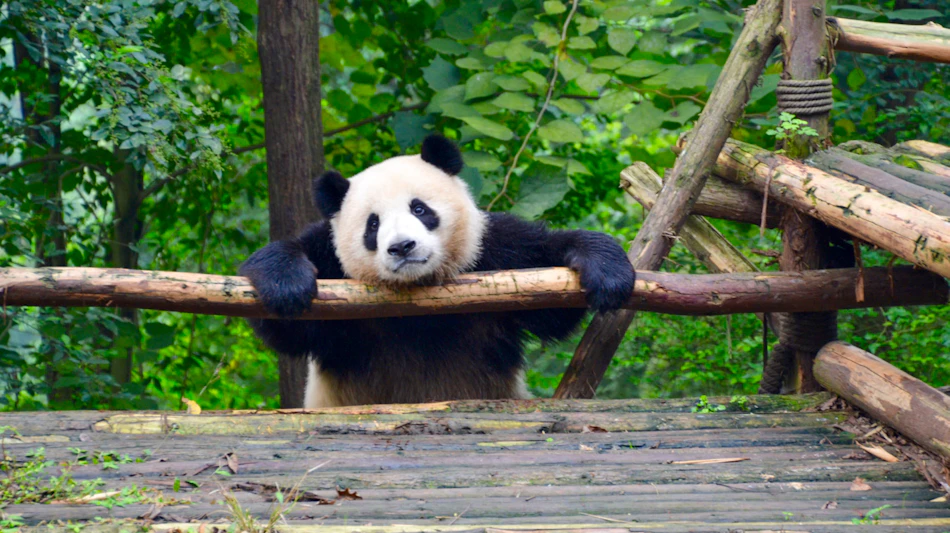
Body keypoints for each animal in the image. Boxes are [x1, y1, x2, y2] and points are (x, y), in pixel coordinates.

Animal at [239, 134, 635, 408]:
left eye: (419, 209)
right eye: (372, 225)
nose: (402, 247)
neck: (419, 290)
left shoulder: (493, 252)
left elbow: (550, 295)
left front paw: (606, 270)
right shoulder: (332, 269)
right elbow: (289, 327)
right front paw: (287, 284)